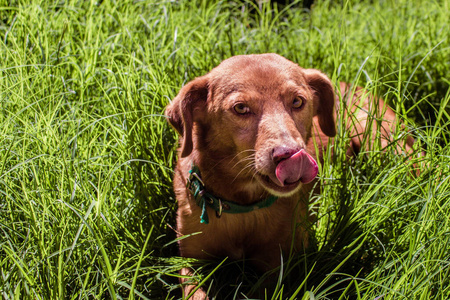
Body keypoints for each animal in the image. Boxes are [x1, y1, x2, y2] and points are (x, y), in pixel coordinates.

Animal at [165, 52, 414, 298]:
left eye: (297, 101)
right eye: (241, 108)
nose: (290, 154)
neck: (245, 209)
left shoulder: (281, 264)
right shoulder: (192, 263)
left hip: (383, 141)